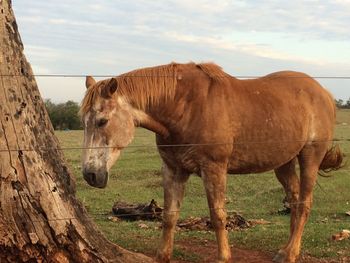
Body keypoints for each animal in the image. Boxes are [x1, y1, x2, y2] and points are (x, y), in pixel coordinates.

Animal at [79, 62, 342, 263]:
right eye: (84, 121)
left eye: (102, 121)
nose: (90, 174)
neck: (185, 107)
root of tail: (323, 93)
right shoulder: (173, 169)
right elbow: (169, 216)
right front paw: (163, 255)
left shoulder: (213, 168)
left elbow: (218, 215)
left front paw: (223, 256)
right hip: (284, 163)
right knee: (295, 202)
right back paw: (287, 250)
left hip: (310, 158)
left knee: (304, 204)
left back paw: (290, 254)